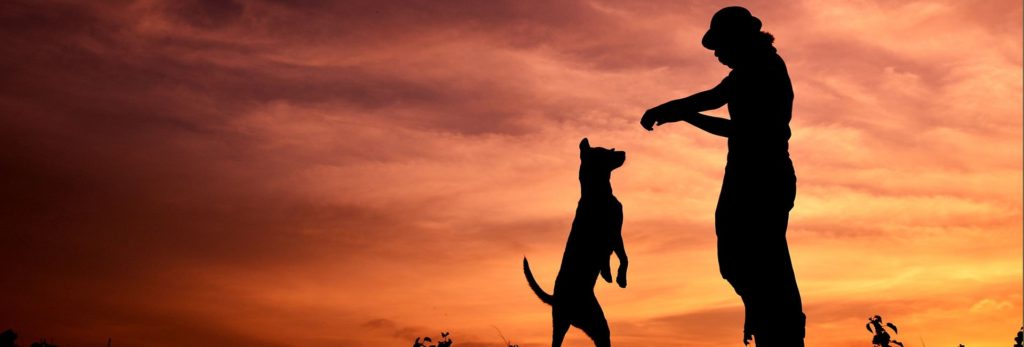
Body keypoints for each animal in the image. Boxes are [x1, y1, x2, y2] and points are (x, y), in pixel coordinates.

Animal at [524, 137, 626, 345]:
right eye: (608, 152)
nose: (624, 153)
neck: (595, 192)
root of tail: (556, 298)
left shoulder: (613, 237)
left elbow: (613, 257)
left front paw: (610, 274)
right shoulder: (613, 233)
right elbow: (623, 258)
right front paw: (619, 277)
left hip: (566, 325)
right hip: (595, 323)